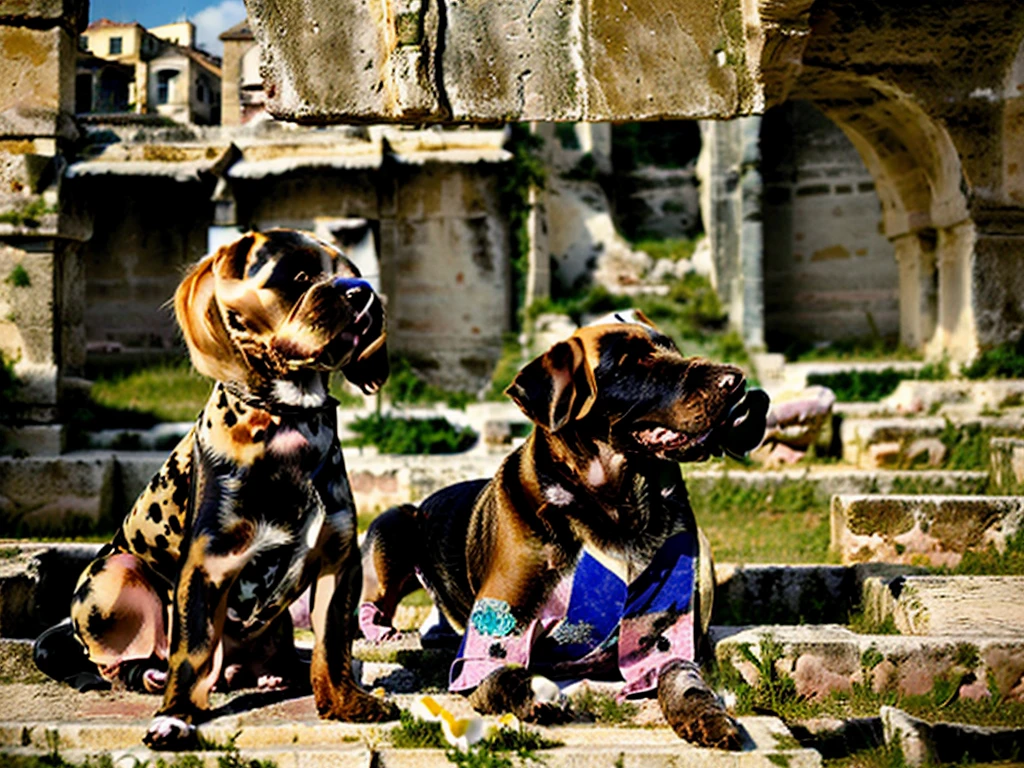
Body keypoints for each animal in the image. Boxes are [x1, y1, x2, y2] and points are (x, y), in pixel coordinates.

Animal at [35, 228, 395, 753]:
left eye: (354, 270)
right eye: (299, 275)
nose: (363, 292)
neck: (290, 422)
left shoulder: (338, 561)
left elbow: (332, 646)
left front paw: (345, 704)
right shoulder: (207, 564)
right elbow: (192, 651)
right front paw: (175, 719)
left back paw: (276, 674)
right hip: (114, 574)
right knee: (116, 664)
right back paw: (150, 676)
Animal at [360, 313, 770, 753]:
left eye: (672, 349)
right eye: (632, 362)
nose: (738, 382)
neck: (614, 502)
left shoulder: (662, 631)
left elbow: (683, 676)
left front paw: (707, 715)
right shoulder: (488, 640)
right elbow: (504, 672)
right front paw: (536, 694)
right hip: (392, 527)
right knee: (372, 601)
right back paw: (382, 631)